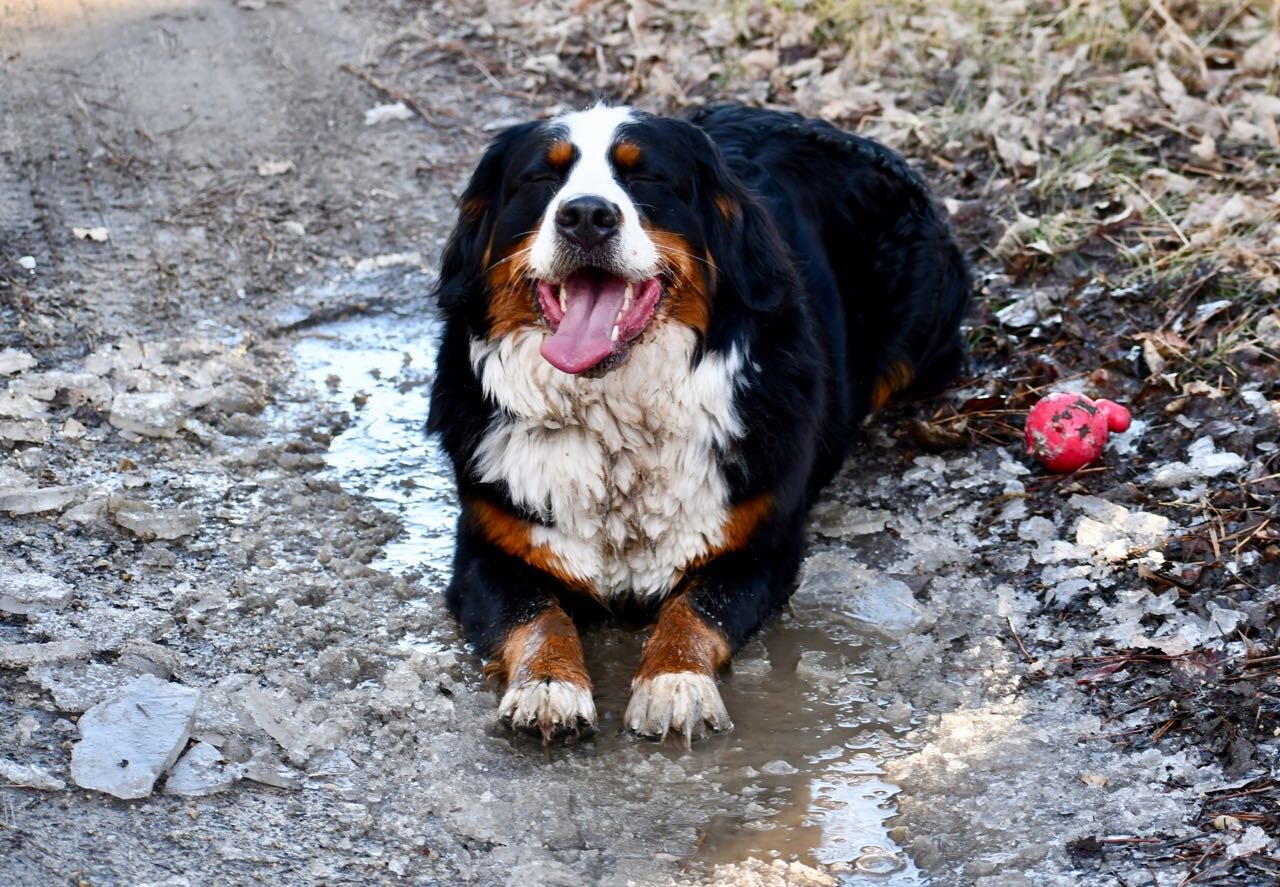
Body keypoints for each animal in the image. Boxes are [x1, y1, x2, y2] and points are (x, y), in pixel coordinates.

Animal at [430, 101, 967, 742]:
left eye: (646, 177)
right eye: (542, 177)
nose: (586, 215)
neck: (619, 423)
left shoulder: (758, 547)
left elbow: (696, 610)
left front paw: (675, 683)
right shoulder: (488, 549)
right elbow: (535, 615)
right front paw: (549, 685)